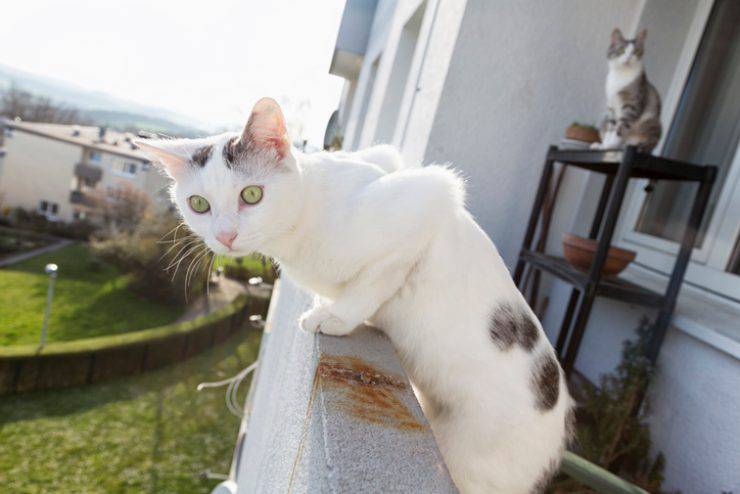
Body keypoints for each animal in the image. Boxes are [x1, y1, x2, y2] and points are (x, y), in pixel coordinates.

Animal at [137, 97, 572, 494]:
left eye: (252, 195)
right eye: (198, 205)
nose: (225, 236)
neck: (301, 226)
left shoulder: (429, 196)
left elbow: (375, 281)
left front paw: (335, 317)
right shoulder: (388, 158)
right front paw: (326, 303)